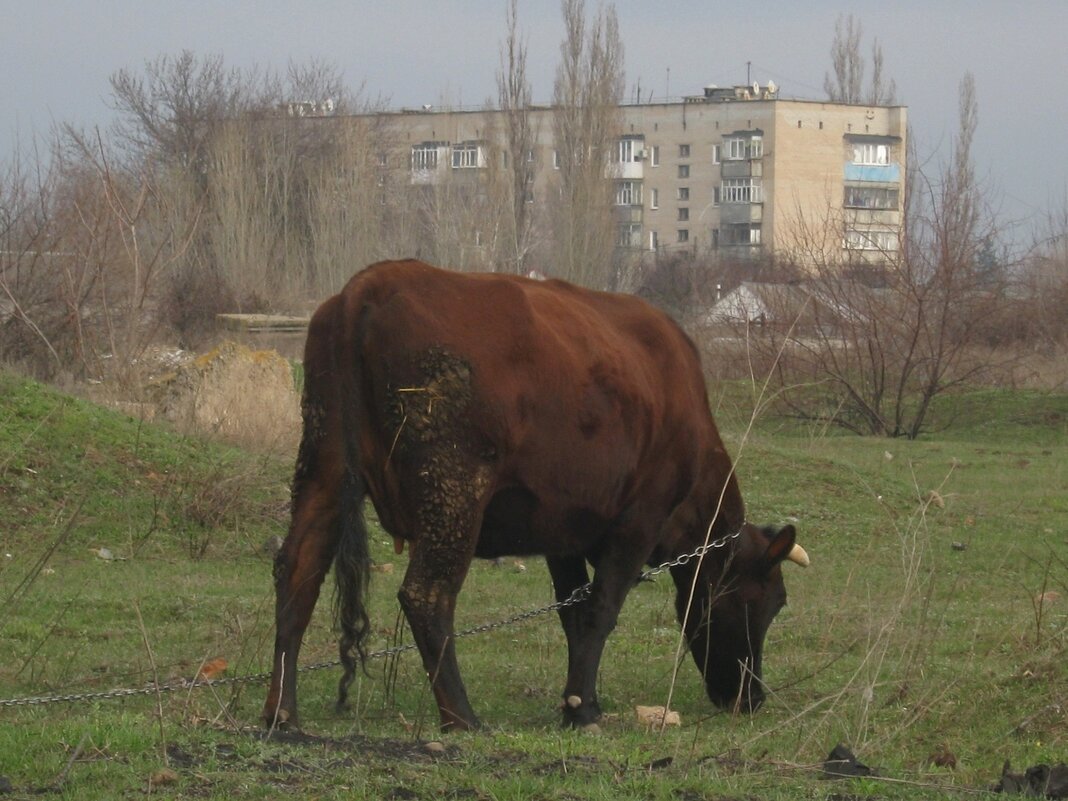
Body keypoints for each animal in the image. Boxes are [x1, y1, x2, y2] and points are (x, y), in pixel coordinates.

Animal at [267, 258, 807, 734]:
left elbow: (573, 612)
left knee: (298, 573)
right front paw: (581, 711)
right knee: (427, 595)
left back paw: (281, 712)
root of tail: (371, 284)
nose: (751, 698)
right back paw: (462, 717)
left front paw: (581, 700)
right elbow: (601, 610)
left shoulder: (562, 530)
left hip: (324, 465)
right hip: (454, 488)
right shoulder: (638, 519)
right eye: (770, 600)